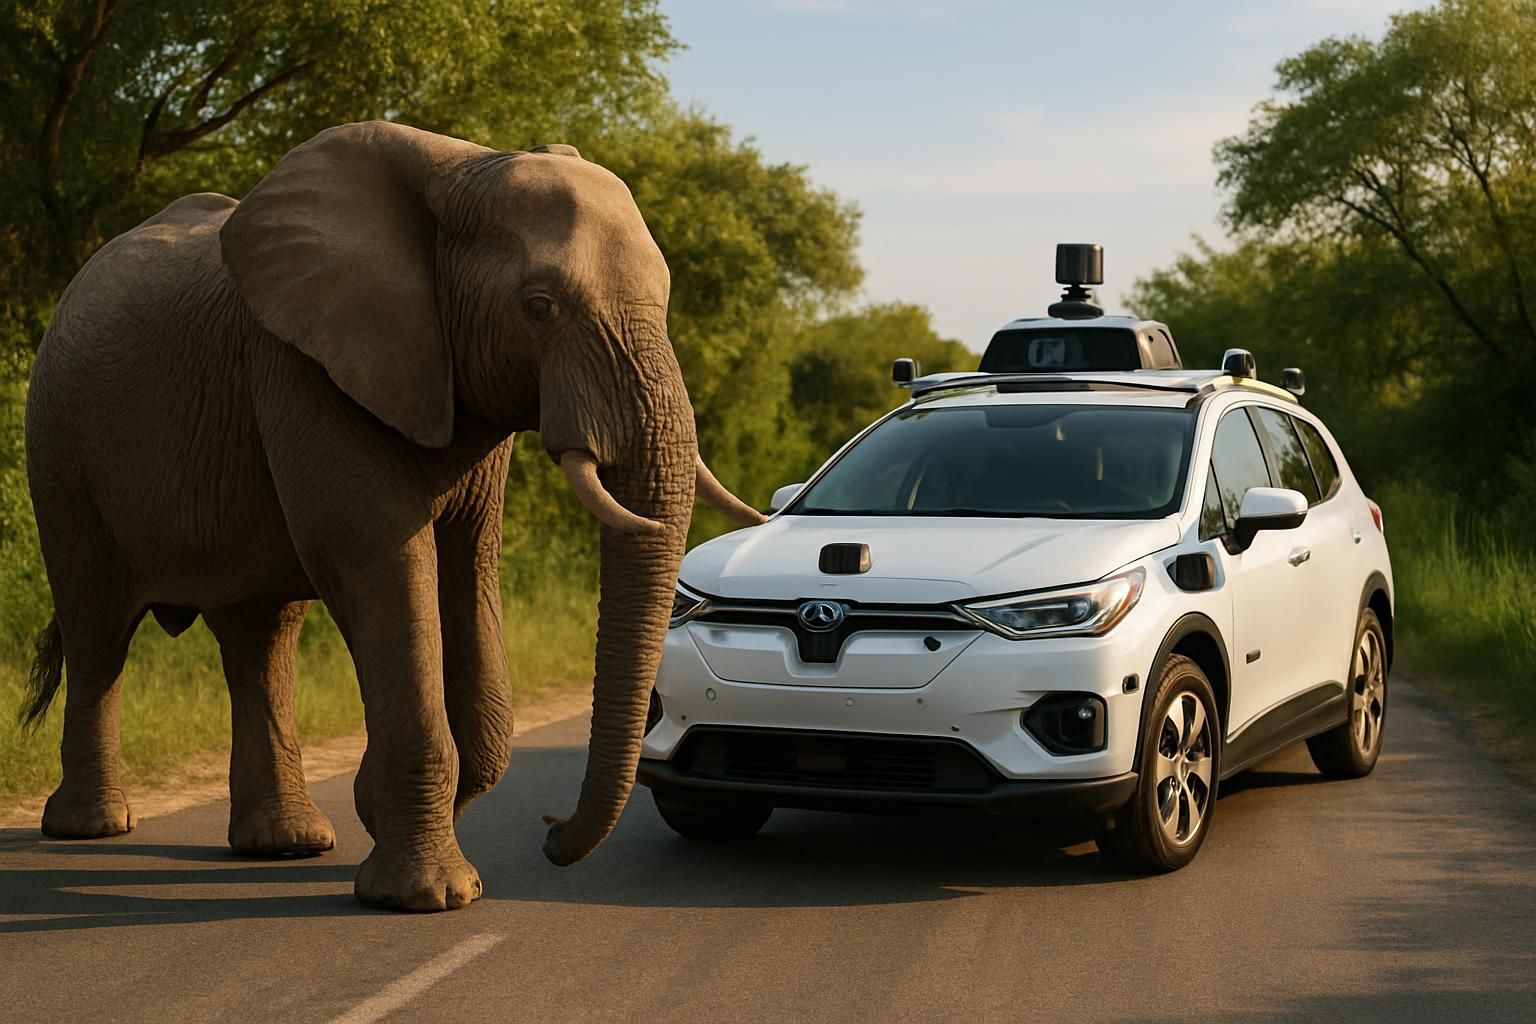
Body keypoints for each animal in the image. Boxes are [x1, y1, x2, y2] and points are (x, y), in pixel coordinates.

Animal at [20, 120, 765, 911]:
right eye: (539, 306)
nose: (550, 831)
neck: (463, 168)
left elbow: (468, 568)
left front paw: (380, 811)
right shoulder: (306, 364)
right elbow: (377, 559)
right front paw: (428, 896)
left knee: (259, 640)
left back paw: (285, 844)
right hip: (59, 445)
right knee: (97, 628)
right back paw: (93, 828)